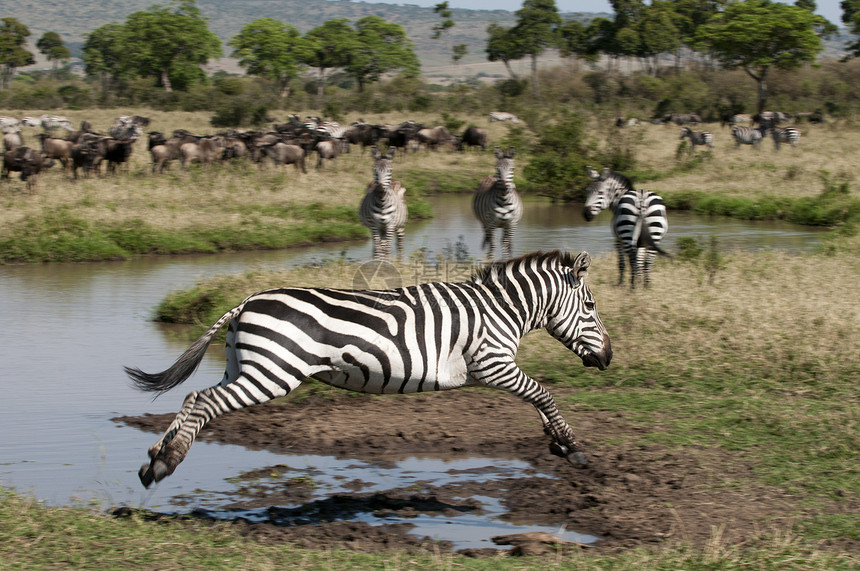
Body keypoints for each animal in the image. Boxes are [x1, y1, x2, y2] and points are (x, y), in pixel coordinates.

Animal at [126, 250, 612, 488]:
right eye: (590, 306)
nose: (608, 358)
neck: (499, 310)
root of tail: (246, 301)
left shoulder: (498, 368)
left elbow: (538, 399)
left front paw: (556, 441)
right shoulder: (493, 363)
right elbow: (542, 393)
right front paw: (572, 446)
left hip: (243, 367)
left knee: (193, 396)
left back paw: (155, 460)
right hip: (270, 375)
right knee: (205, 401)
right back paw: (167, 461)